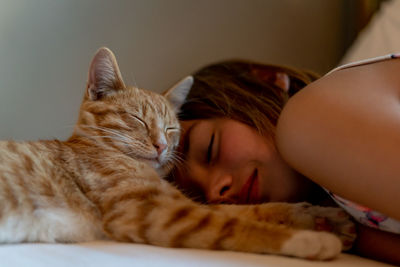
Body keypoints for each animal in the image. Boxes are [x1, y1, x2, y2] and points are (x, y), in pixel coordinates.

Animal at [0, 47, 354, 260]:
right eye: (138, 119)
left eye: (172, 128)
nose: (161, 146)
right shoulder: (152, 212)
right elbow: (238, 226)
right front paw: (310, 240)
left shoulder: (179, 202)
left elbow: (253, 209)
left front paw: (319, 216)